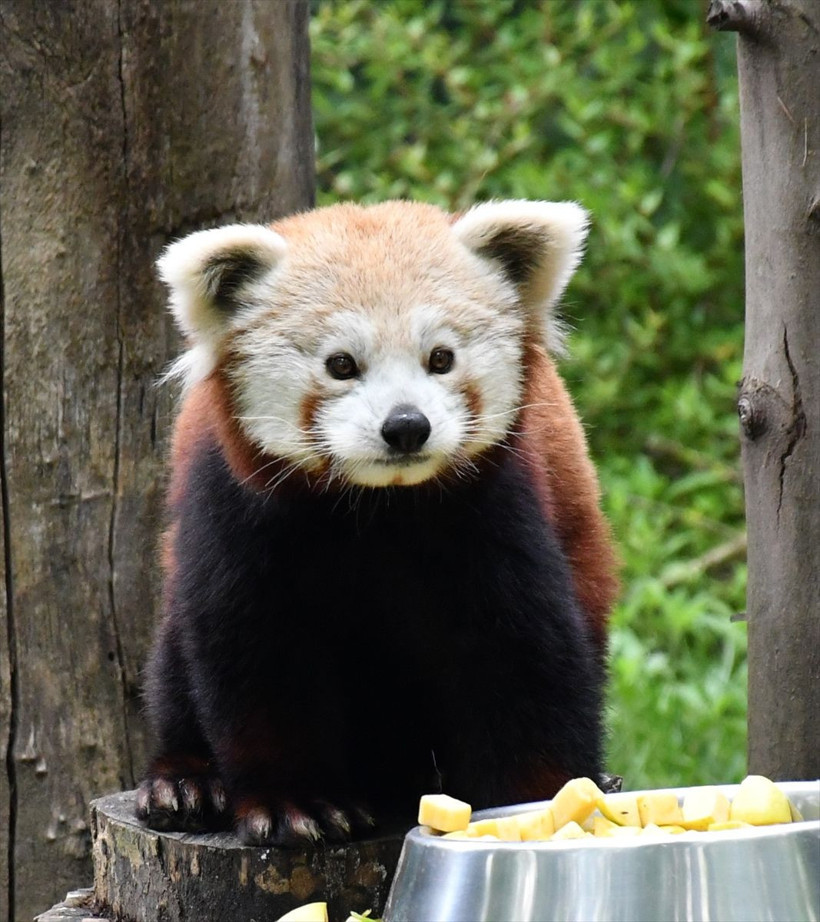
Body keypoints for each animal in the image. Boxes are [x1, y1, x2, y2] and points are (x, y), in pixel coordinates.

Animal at [136, 200, 618, 846]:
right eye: (341, 364)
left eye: (441, 358)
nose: (406, 426)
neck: (377, 507)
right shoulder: (237, 511)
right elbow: (258, 655)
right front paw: (296, 803)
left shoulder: (494, 511)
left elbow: (523, 661)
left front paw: (543, 799)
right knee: (172, 662)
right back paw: (185, 781)